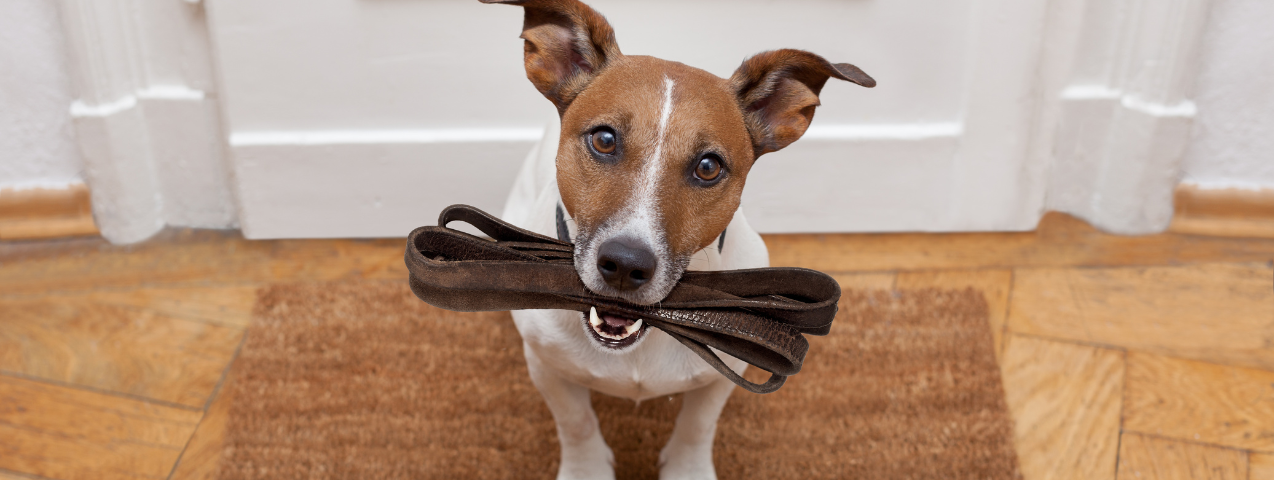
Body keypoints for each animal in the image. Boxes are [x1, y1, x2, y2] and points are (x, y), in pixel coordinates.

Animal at [489, 1, 876, 476]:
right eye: (604, 139)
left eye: (708, 167)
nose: (625, 264)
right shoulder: (547, 367)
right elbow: (576, 422)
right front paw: (587, 469)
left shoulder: (723, 371)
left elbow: (697, 426)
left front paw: (687, 469)